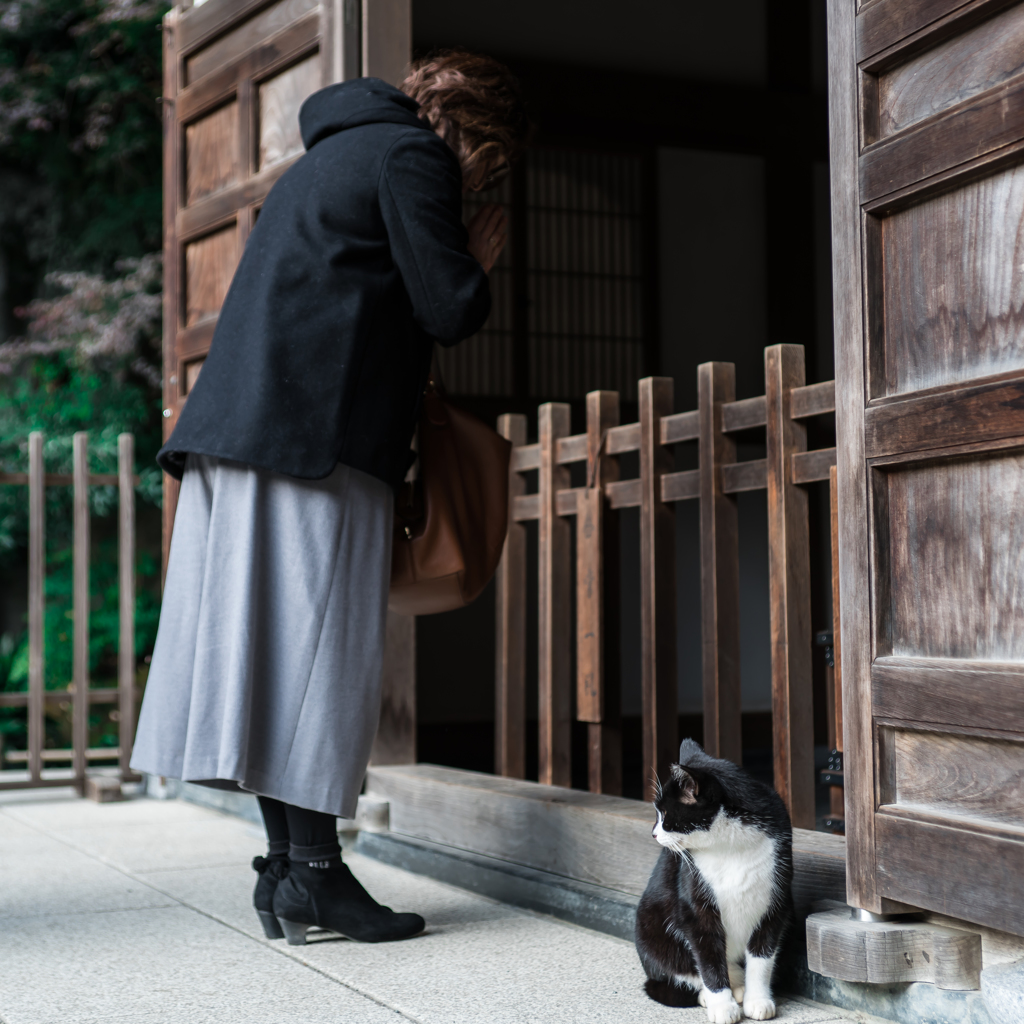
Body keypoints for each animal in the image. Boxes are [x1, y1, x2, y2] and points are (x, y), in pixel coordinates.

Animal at [630, 741, 790, 1019]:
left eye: (665, 813)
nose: (653, 833)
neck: (729, 845)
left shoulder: (775, 900)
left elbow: (762, 957)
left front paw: (758, 1000)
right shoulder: (696, 906)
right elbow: (708, 959)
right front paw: (723, 1006)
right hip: (649, 929)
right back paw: (715, 993)